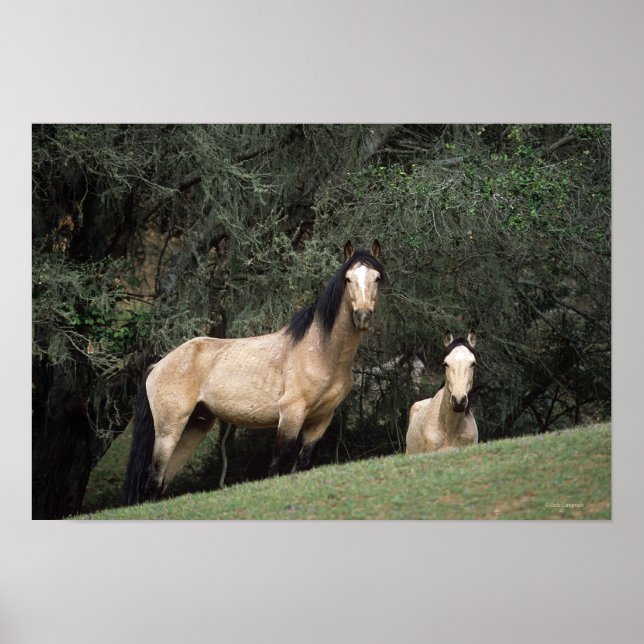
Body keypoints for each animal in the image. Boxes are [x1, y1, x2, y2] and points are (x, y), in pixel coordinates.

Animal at [124, 240, 385, 505]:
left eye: (376, 277)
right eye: (348, 278)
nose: (363, 316)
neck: (321, 351)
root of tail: (158, 365)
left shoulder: (321, 420)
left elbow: (302, 464)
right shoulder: (291, 415)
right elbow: (277, 466)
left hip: (193, 428)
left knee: (162, 482)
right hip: (169, 429)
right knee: (154, 478)